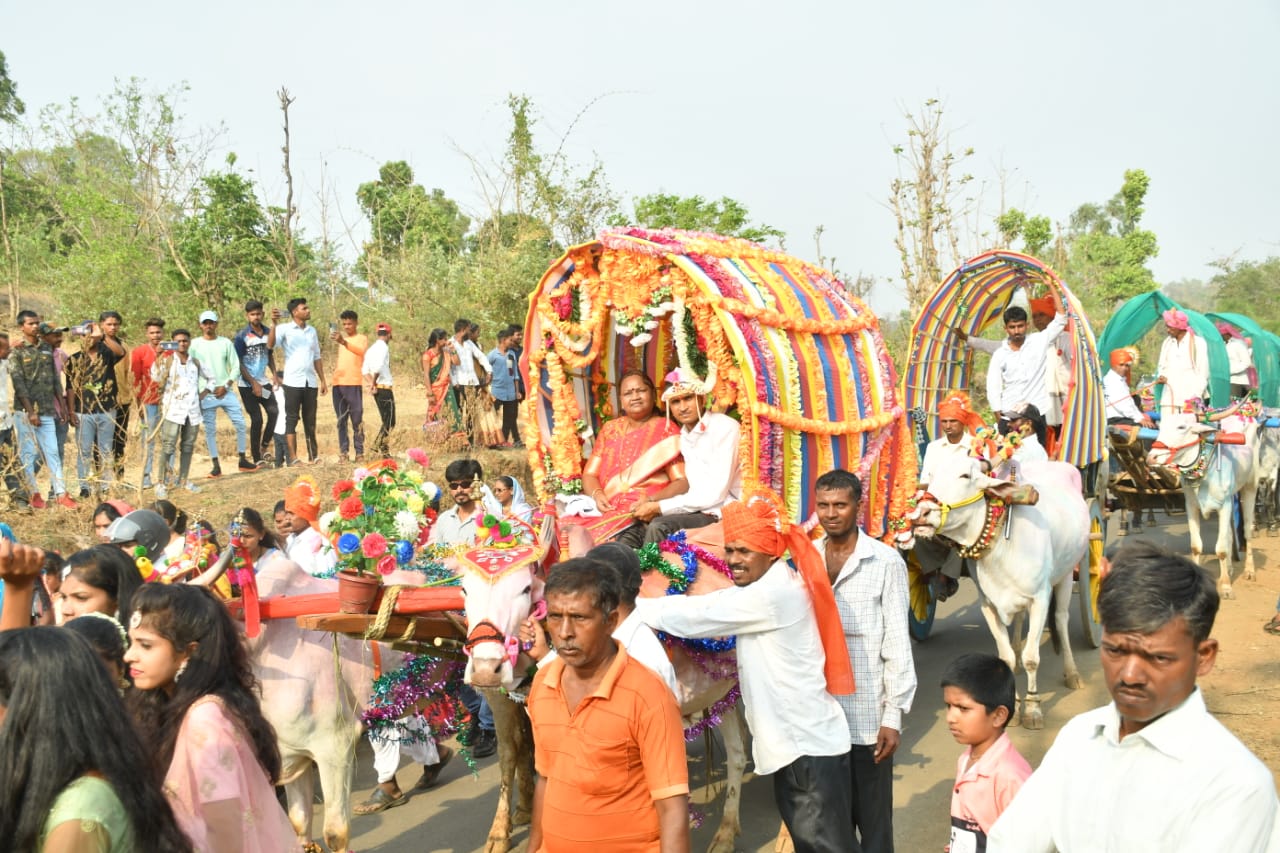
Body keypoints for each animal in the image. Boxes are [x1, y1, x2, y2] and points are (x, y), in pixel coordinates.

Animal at [906, 455, 1085, 727]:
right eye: (931, 476)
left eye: (965, 476)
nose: (922, 513)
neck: (1001, 542)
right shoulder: (989, 604)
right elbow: (1006, 657)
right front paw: (1014, 704)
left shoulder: (1039, 599)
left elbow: (1033, 658)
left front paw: (1033, 708)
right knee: (1020, 621)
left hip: (1065, 574)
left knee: (1061, 620)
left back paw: (1072, 673)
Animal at [1152, 407, 1259, 594]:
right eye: (1161, 426)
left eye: (1181, 427)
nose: (1151, 456)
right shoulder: (1191, 506)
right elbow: (1196, 546)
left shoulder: (1225, 505)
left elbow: (1221, 549)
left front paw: (1225, 586)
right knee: (1229, 534)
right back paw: (1229, 568)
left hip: (1250, 487)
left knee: (1247, 530)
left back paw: (1249, 571)